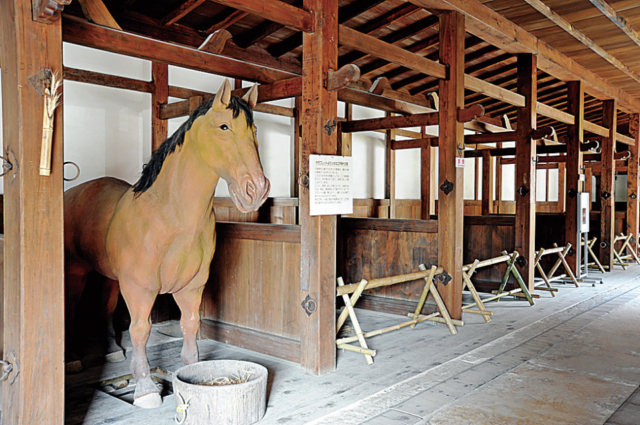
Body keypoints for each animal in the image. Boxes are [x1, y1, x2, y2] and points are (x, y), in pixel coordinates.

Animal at [64, 79, 270, 408]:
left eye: (255, 131)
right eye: (223, 126)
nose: (256, 190)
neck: (171, 215)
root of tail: (74, 192)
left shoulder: (192, 286)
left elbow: (190, 324)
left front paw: (192, 370)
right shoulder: (140, 288)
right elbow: (140, 330)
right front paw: (144, 388)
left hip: (111, 277)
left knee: (105, 308)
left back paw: (112, 350)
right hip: (76, 272)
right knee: (71, 310)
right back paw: (72, 358)